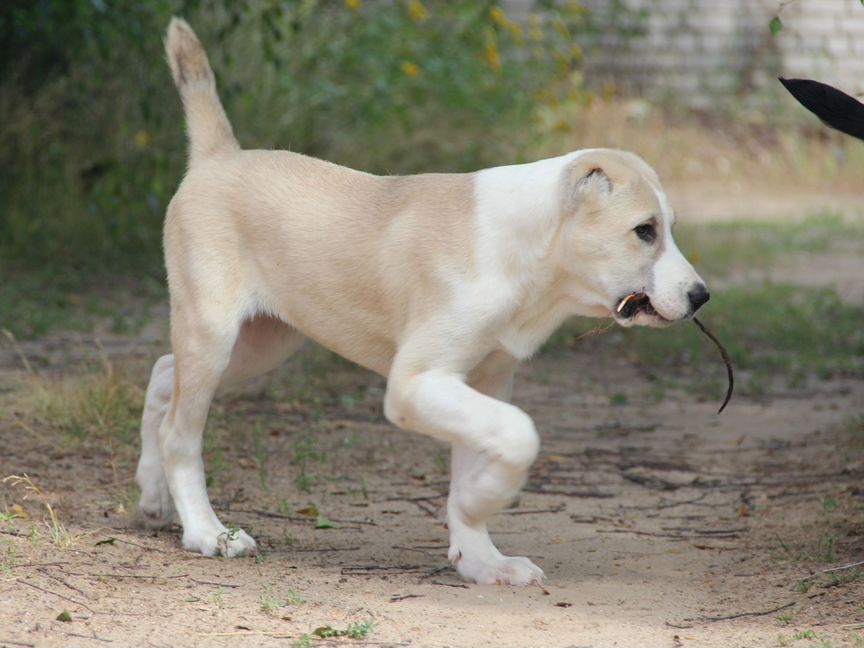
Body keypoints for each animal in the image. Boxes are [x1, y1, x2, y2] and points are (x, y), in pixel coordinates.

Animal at [135, 19, 708, 588]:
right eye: (644, 230)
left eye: (669, 228)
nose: (701, 296)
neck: (528, 255)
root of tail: (219, 157)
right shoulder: (417, 384)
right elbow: (519, 433)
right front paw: (480, 504)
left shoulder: (482, 382)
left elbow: (482, 453)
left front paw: (483, 559)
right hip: (215, 335)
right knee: (179, 433)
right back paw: (208, 532)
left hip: (261, 343)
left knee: (164, 374)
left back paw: (152, 496)